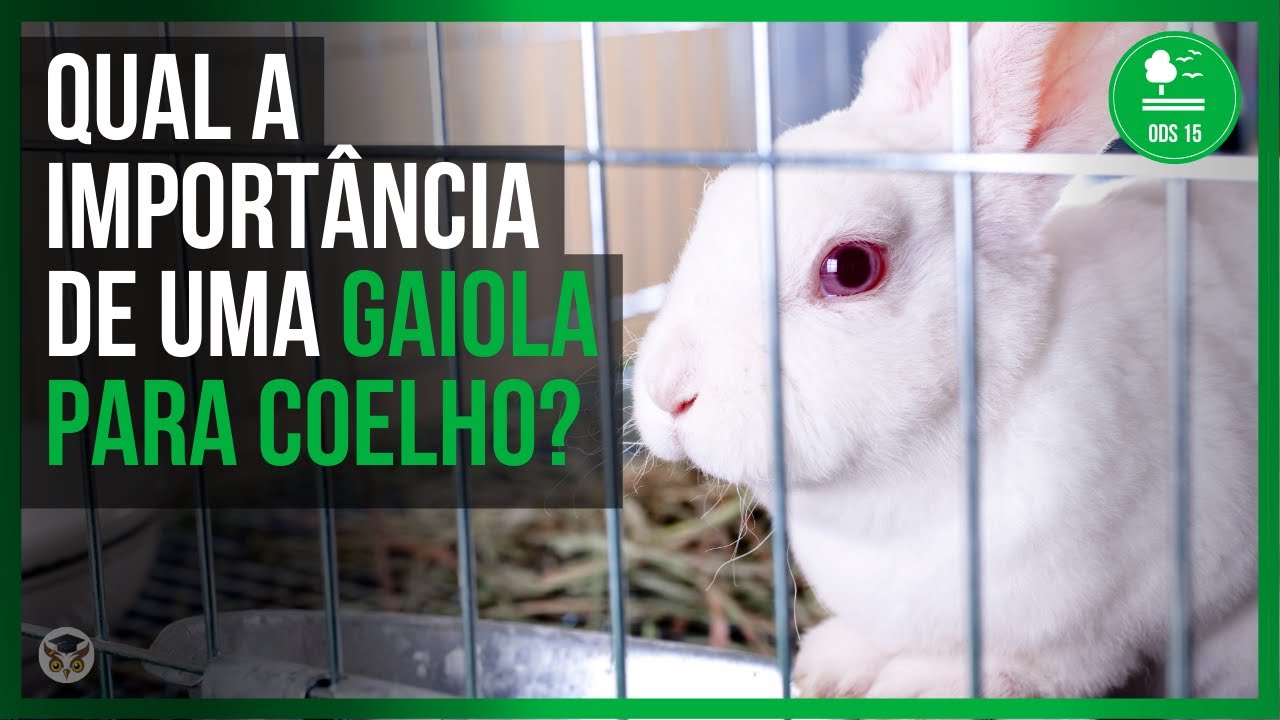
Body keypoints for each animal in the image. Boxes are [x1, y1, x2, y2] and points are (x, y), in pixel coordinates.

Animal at [631, 22, 1258, 698]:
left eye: (850, 267)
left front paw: (920, 687)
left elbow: (1046, 665)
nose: (668, 390)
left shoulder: (1088, 629)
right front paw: (830, 667)